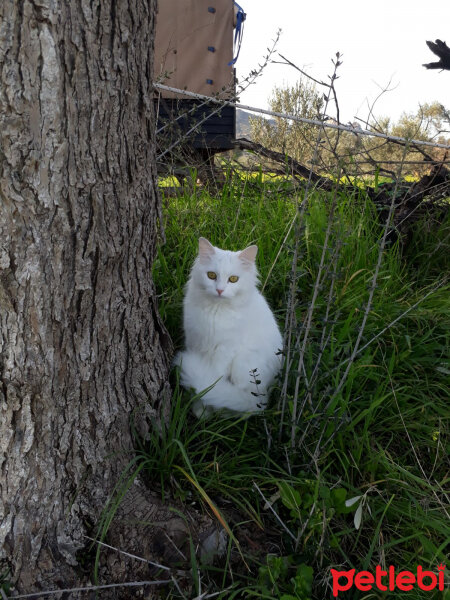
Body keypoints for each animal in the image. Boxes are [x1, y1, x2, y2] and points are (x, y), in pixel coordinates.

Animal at [174, 237, 284, 414]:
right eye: (211, 275)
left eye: (233, 279)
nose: (219, 290)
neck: (215, 312)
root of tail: (263, 398)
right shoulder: (194, 343)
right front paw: (198, 408)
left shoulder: (224, 351)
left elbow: (212, 384)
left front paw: (204, 410)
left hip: (243, 365)